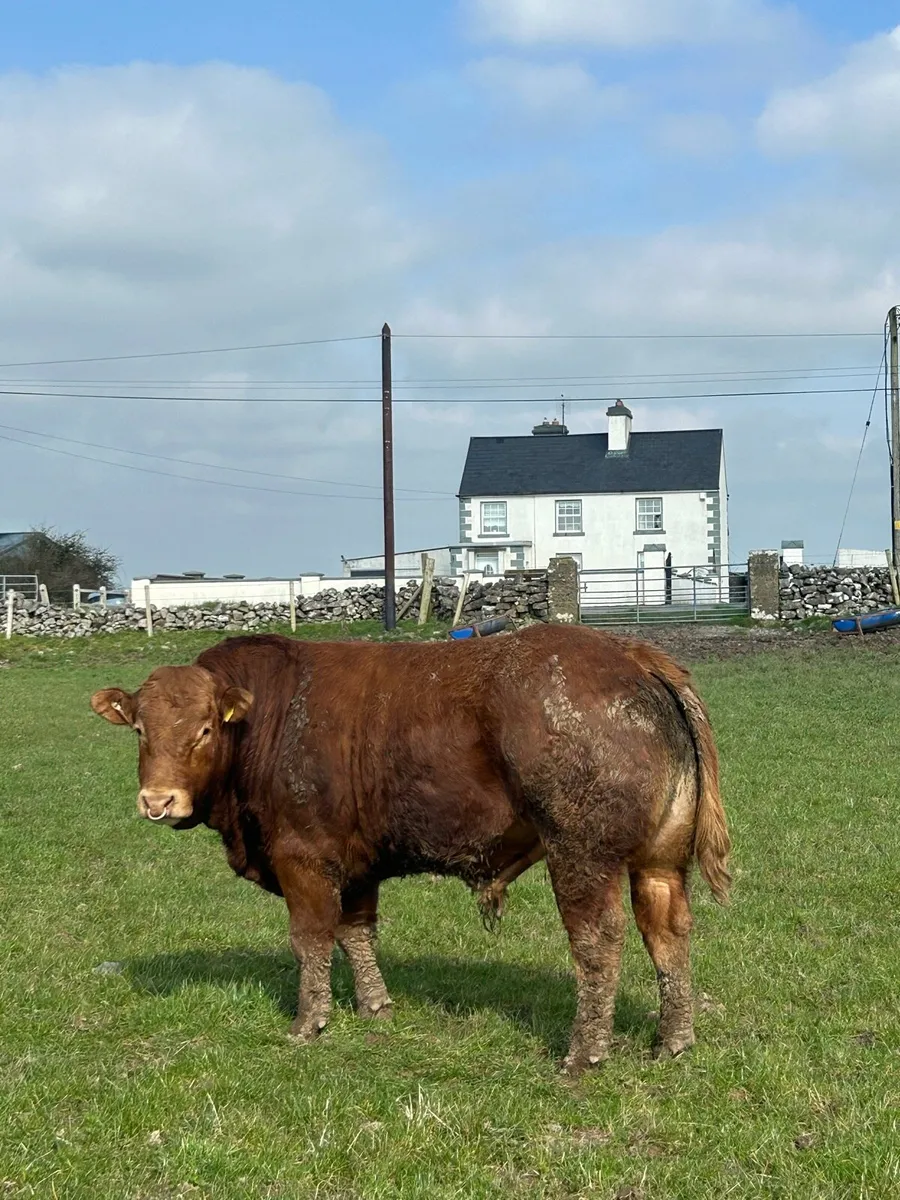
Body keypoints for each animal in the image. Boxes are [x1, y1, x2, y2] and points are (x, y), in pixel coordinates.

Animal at [90, 622, 730, 1074]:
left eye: (204, 729)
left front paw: (308, 1023)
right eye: (141, 730)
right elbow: (355, 933)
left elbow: (310, 940)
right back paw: (673, 1040)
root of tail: (630, 652)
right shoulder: (354, 866)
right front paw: (374, 1006)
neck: (271, 720)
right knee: (667, 932)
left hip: (581, 855)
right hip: (659, 860)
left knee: (598, 942)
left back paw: (584, 1054)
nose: (158, 800)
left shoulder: (303, 858)